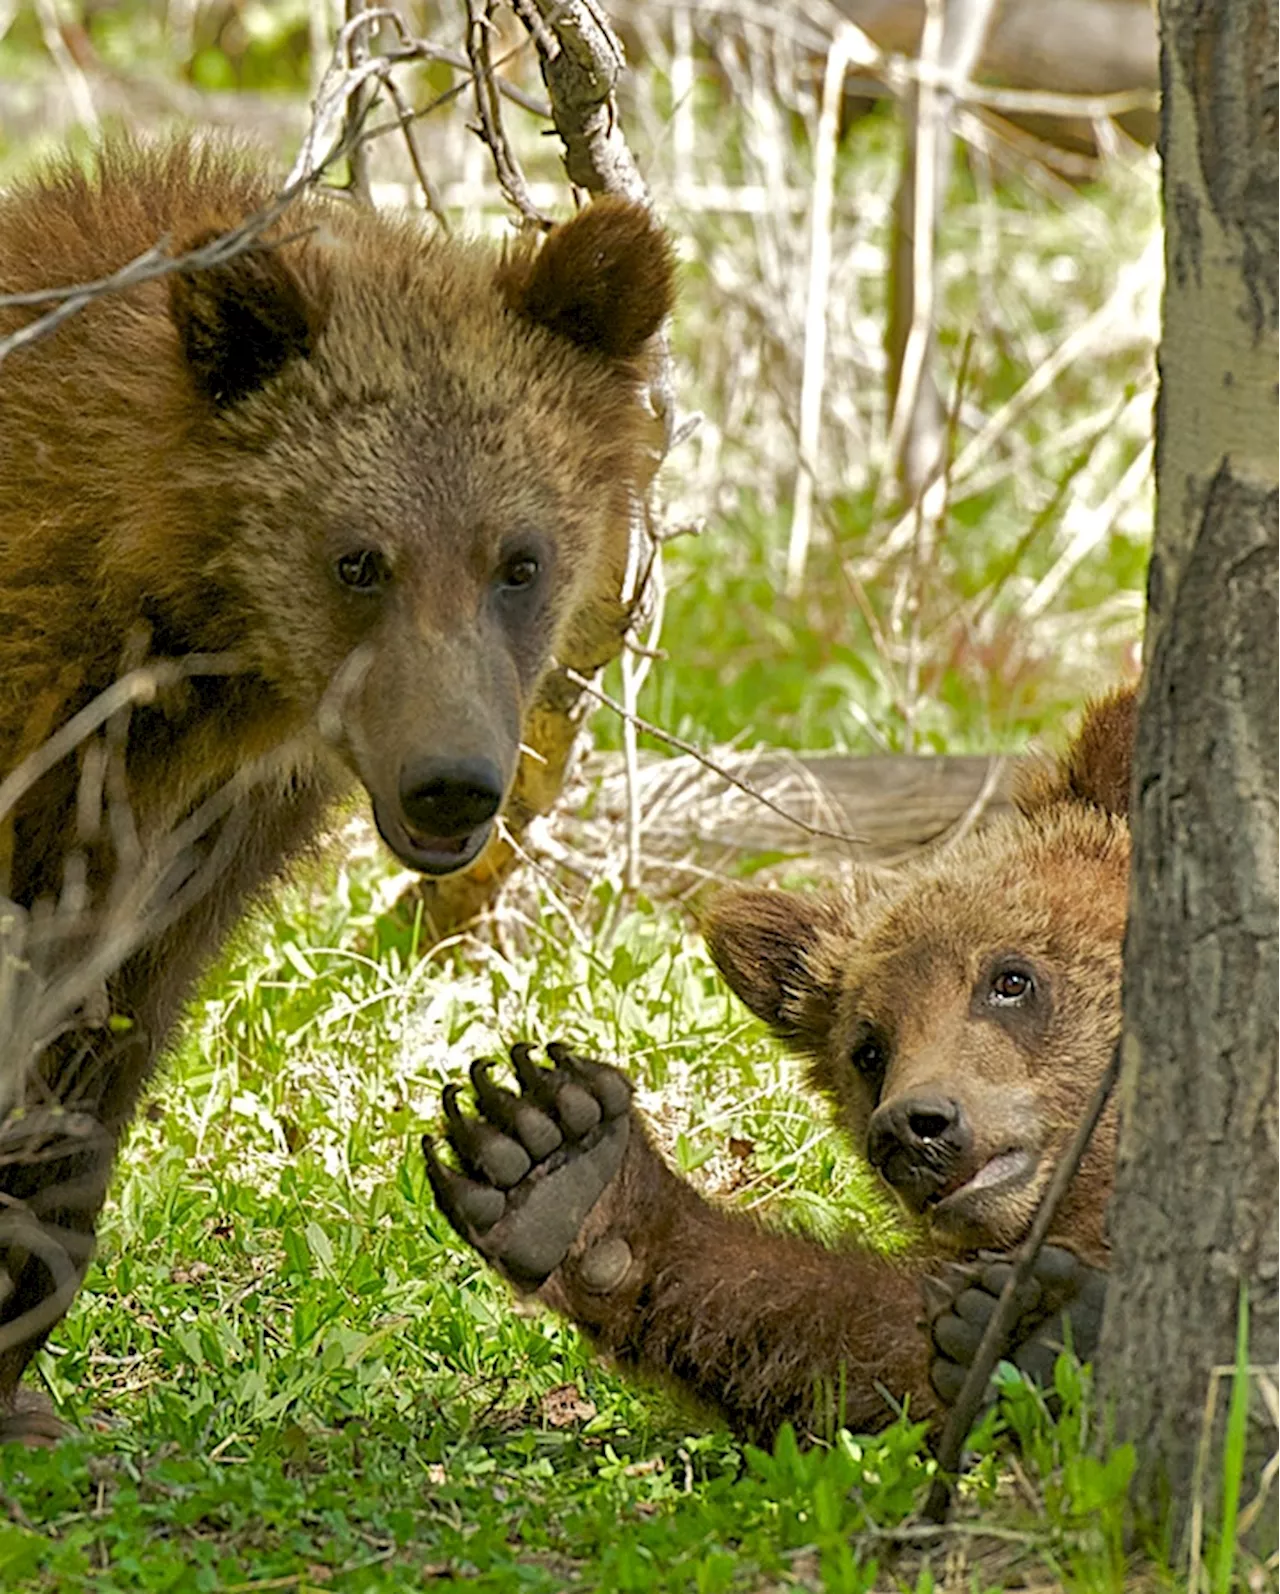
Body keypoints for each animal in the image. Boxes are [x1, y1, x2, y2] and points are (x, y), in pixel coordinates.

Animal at [427, 691, 1128, 1440]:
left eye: (1011, 978)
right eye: (868, 1049)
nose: (915, 1127)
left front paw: (1043, 1326)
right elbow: (870, 1356)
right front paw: (559, 1167)